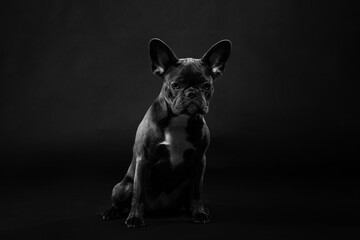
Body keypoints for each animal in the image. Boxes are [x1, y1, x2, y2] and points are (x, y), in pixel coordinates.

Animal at [102, 37, 231, 227]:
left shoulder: (199, 161)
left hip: (187, 182)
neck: (179, 119)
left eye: (206, 86)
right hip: (122, 187)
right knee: (123, 199)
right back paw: (112, 212)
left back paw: (195, 209)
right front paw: (135, 217)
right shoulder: (143, 159)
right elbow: (138, 193)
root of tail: (159, 209)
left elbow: (197, 192)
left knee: (190, 196)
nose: (192, 93)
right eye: (176, 85)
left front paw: (199, 212)